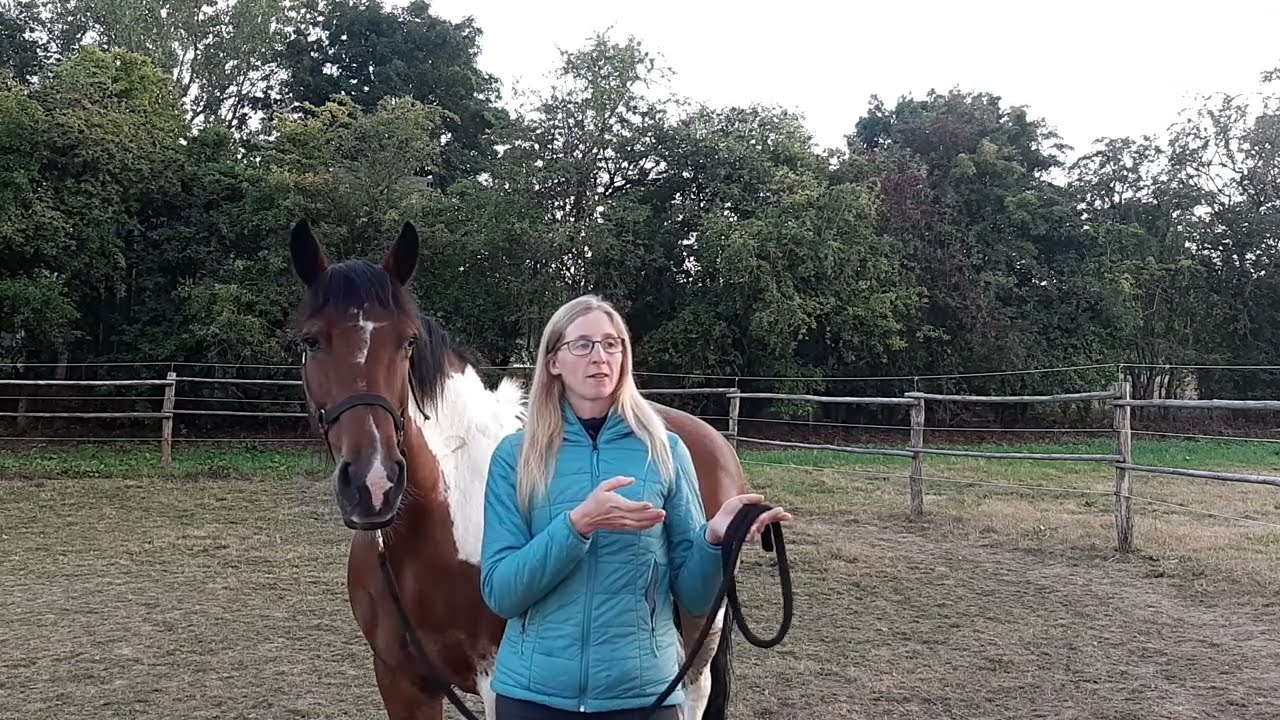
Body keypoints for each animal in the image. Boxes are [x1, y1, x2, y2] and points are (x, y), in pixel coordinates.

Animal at [288, 219, 748, 720]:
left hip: (699, 641)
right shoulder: (399, 679)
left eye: (407, 342)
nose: (373, 484)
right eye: (311, 341)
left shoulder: (495, 683)